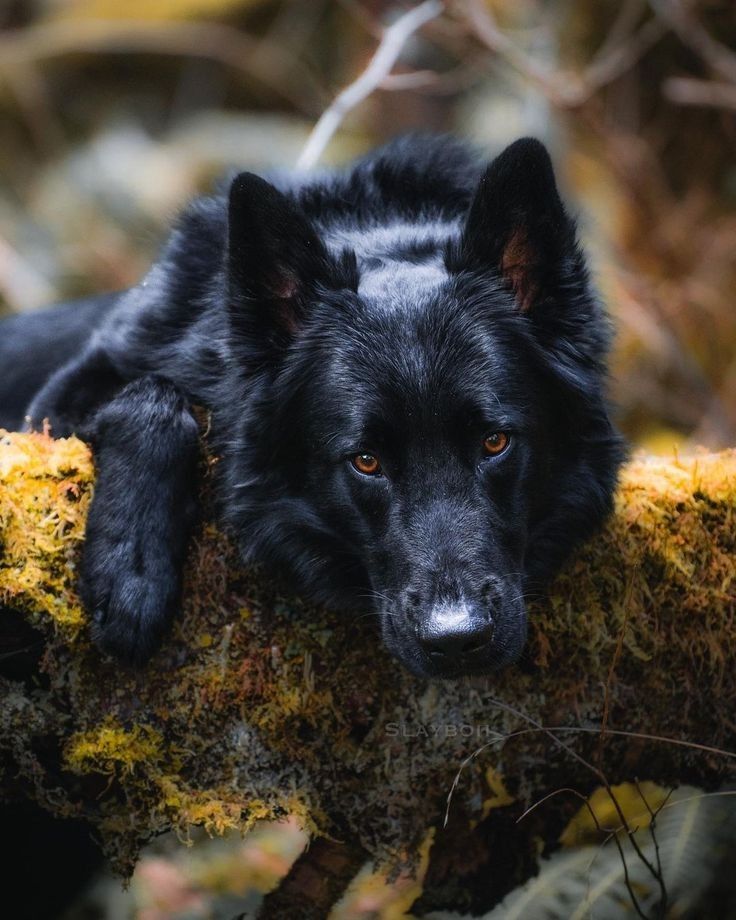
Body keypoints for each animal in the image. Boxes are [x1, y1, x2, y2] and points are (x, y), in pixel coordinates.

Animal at [0, 137, 620, 680]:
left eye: (495, 442)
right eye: (366, 461)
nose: (456, 641)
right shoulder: (63, 398)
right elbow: (154, 396)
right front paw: (131, 574)